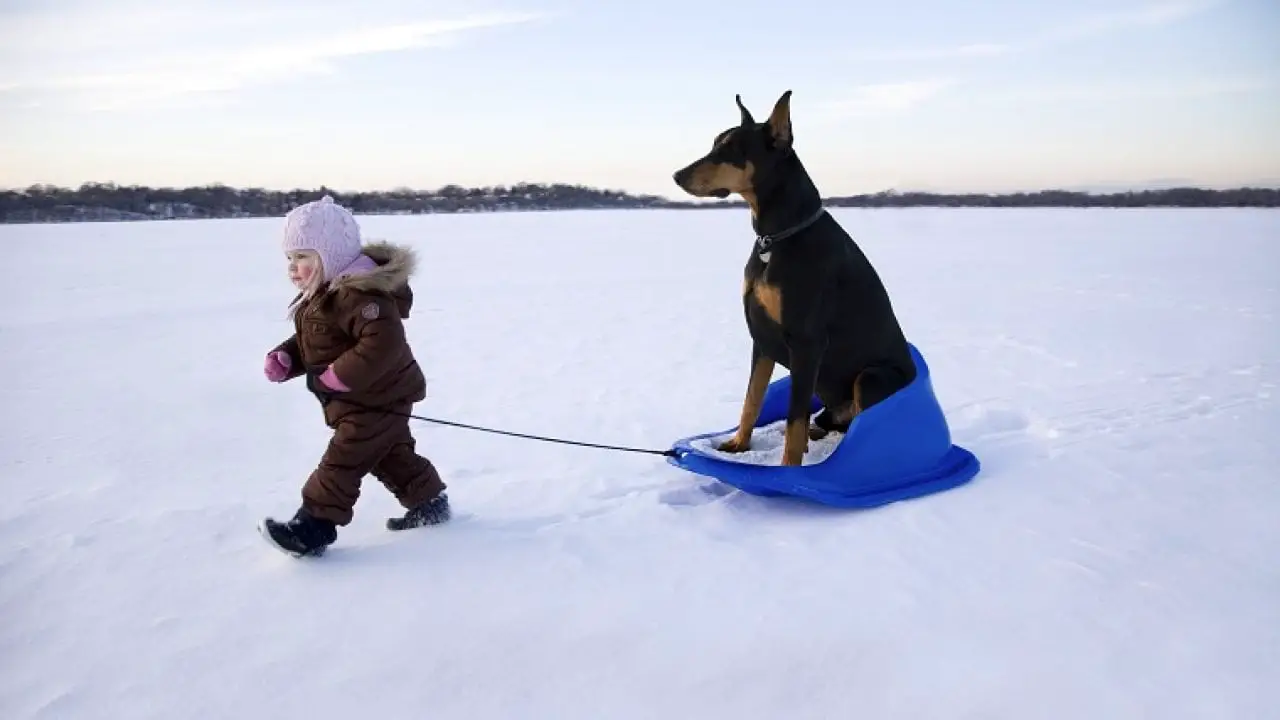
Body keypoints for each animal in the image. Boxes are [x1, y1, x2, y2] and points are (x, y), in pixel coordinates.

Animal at [670, 88, 921, 466]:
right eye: (714, 143)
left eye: (730, 149)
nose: (677, 175)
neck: (775, 237)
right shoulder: (761, 338)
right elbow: (752, 400)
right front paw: (738, 445)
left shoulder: (806, 342)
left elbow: (793, 419)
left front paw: (788, 469)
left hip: (872, 376)